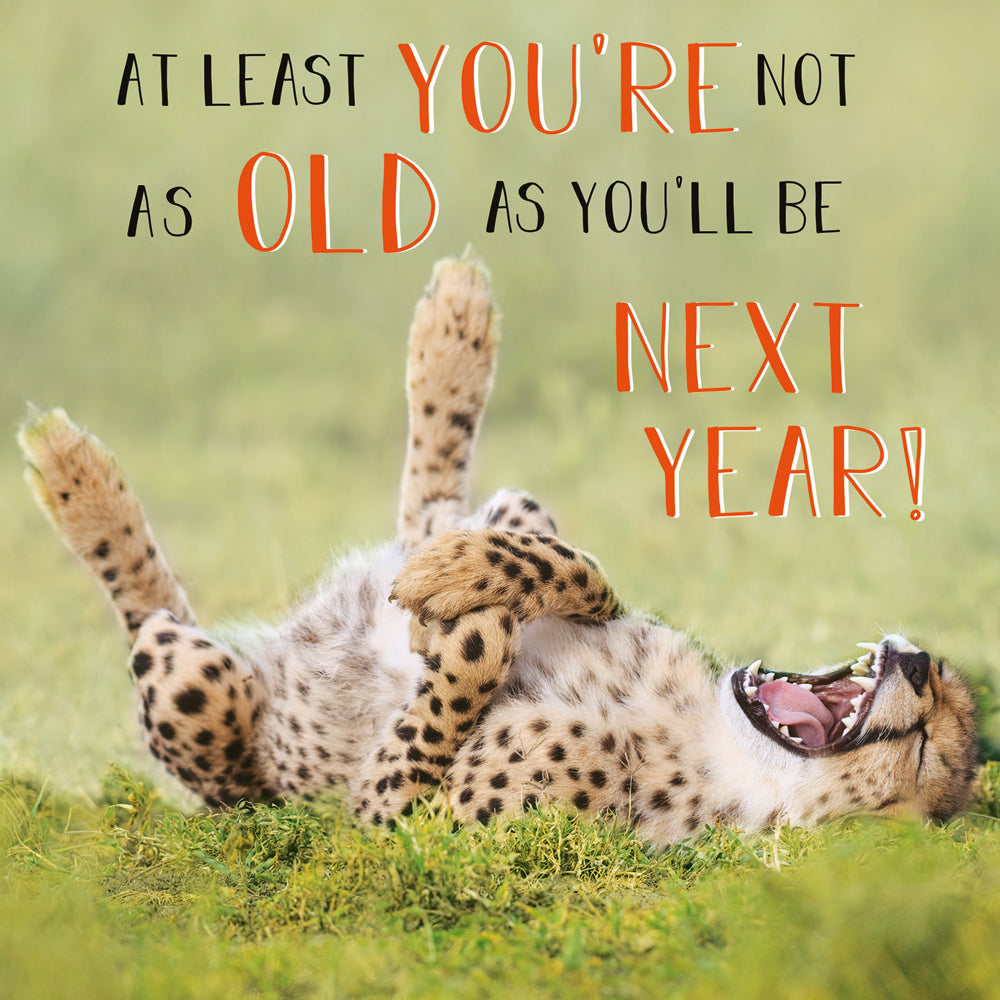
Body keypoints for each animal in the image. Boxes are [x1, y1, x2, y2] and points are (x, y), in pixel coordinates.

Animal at [18, 252, 979, 847]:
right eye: (939, 694)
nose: (916, 657)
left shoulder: (395, 820)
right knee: (439, 504)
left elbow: (443, 704)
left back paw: (70, 472)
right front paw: (459, 588)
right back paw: (454, 328)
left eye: (924, 750)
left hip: (202, 698)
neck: (725, 755)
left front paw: (466, 634)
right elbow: (578, 569)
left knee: (152, 610)